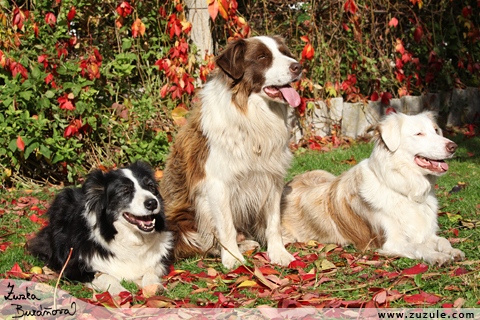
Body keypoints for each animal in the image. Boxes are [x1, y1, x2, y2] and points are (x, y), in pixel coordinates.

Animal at [29, 162, 173, 296]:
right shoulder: (73, 269)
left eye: (151, 187)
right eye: (125, 190)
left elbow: (150, 271)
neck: (132, 239)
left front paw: (154, 286)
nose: (152, 203)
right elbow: (106, 276)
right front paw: (120, 292)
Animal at [163, 35, 302, 268]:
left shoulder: (272, 177)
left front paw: (278, 252)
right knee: (201, 243)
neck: (252, 116)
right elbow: (225, 225)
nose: (298, 67)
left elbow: (273, 221)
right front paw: (233, 258)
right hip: (181, 219)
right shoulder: (216, 183)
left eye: (285, 52)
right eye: (262, 57)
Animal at [282, 111, 464, 266]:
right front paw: (437, 256)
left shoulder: (425, 233)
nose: (453, 146)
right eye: (419, 134)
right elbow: (418, 246)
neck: (406, 191)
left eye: (436, 131)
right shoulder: (389, 242)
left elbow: (442, 240)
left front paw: (452, 251)